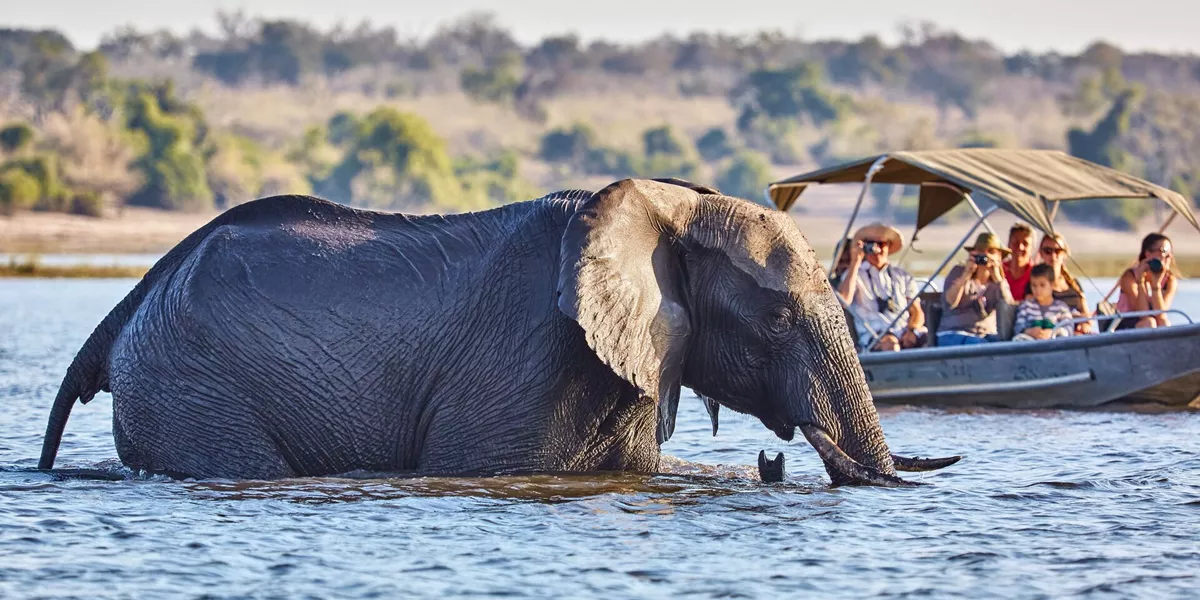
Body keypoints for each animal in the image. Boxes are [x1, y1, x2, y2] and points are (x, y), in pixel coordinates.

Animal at [38, 177, 959, 486]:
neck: (668, 205)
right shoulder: (528, 359)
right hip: (191, 385)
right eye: (775, 320)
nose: (774, 458)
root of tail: (133, 301)